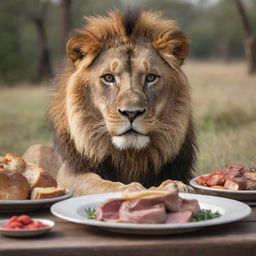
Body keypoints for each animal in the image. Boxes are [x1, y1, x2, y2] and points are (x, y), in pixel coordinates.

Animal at [23, 9, 196, 195]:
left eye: (151, 78)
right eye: (108, 78)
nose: (131, 113)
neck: (130, 157)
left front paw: (174, 185)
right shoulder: (70, 174)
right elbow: (105, 185)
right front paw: (150, 188)